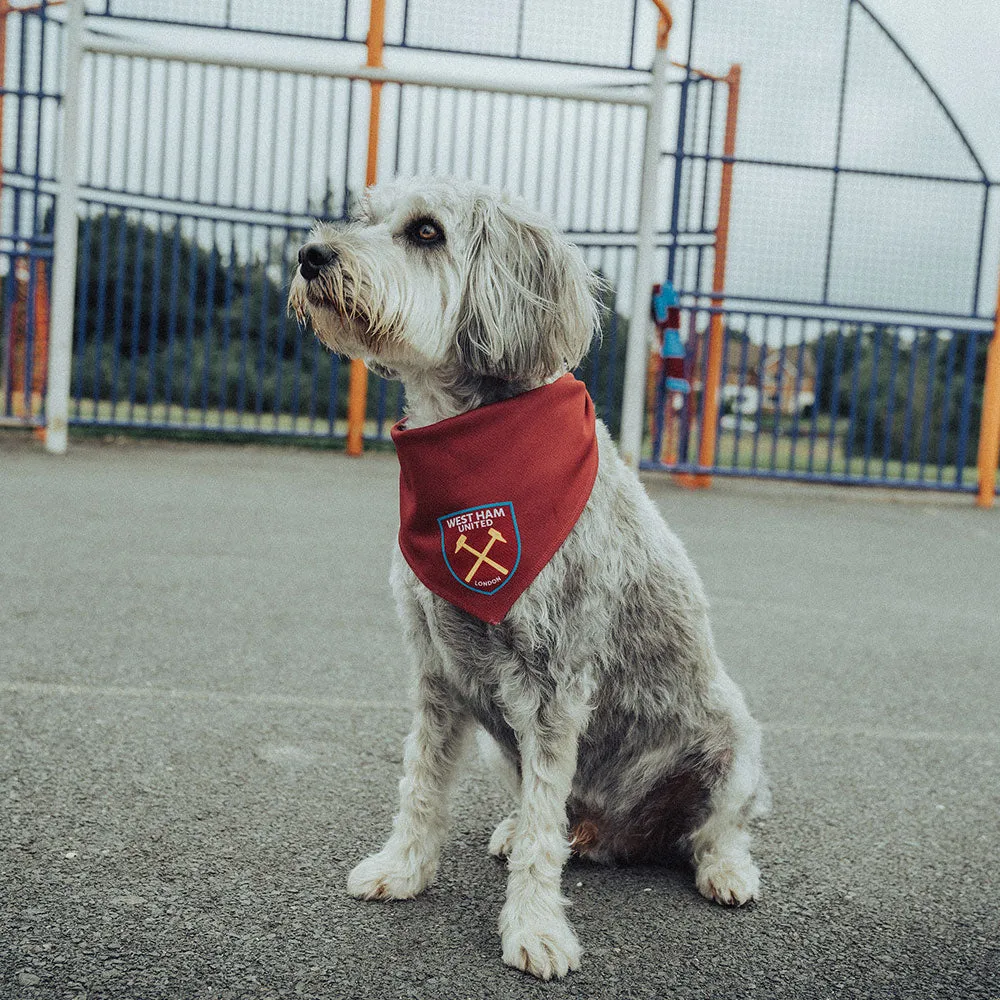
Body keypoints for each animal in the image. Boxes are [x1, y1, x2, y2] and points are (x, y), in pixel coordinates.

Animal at [288, 176, 764, 980]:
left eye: (426, 231)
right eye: (364, 216)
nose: (311, 254)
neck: (469, 445)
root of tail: (620, 834)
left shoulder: (552, 688)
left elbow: (545, 828)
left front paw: (535, 928)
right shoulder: (438, 675)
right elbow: (421, 783)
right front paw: (403, 868)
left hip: (734, 740)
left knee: (712, 827)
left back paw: (725, 868)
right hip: (499, 741)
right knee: (559, 816)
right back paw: (524, 830)